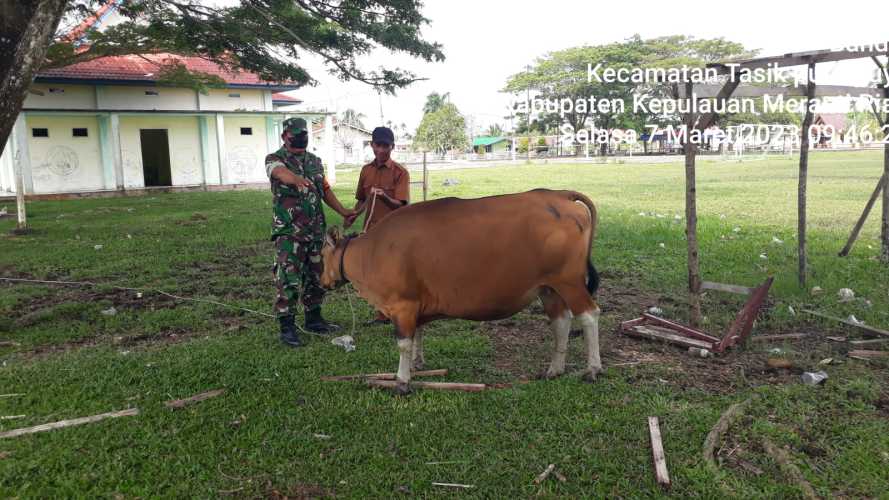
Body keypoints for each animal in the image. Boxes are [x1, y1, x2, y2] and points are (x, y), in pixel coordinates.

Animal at [316, 188, 600, 390]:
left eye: (320, 254)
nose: (322, 282)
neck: (374, 251)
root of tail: (559, 195)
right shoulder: (415, 305)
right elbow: (418, 335)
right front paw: (417, 364)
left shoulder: (402, 305)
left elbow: (404, 344)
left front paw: (402, 380)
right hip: (549, 288)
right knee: (561, 322)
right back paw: (555, 369)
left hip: (569, 282)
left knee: (589, 315)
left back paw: (593, 369)